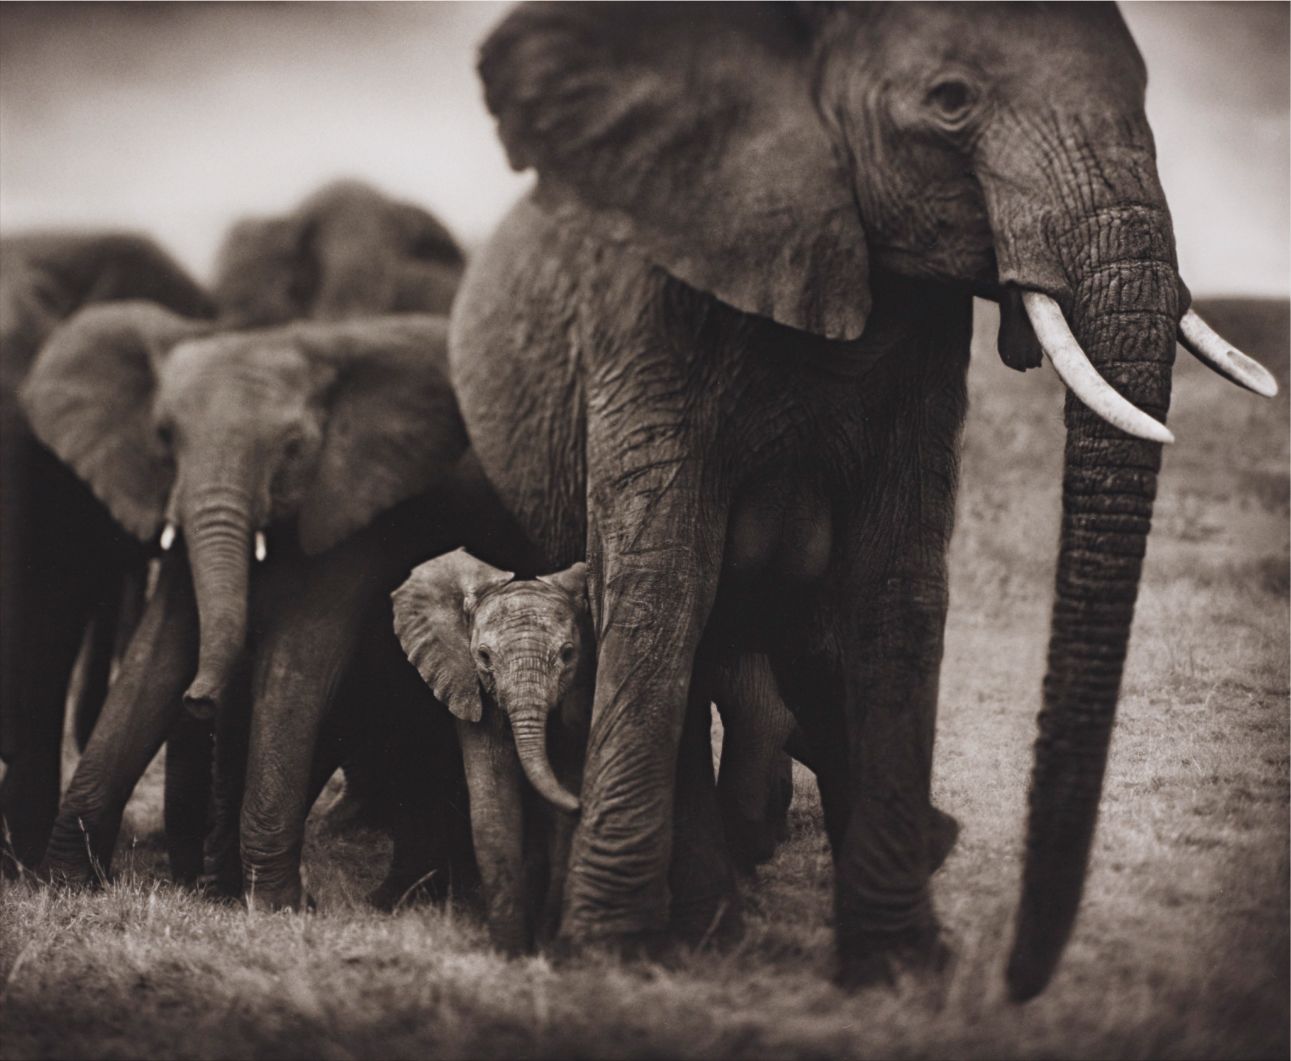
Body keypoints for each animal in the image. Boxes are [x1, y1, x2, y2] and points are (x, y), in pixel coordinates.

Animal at [21, 306, 505, 904]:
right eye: (164, 437)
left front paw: (278, 906)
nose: (200, 700)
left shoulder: (355, 509)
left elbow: (297, 660)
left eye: (294, 447)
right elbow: (157, 654)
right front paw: (60, 883)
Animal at [448, 2, 1279, 999]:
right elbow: (660, 583)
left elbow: (892, 585)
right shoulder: (644, 313)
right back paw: (707, 927)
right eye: (950, 100)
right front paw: (610, 957)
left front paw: (898, 965)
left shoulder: (922, 344)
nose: (1016, 983)